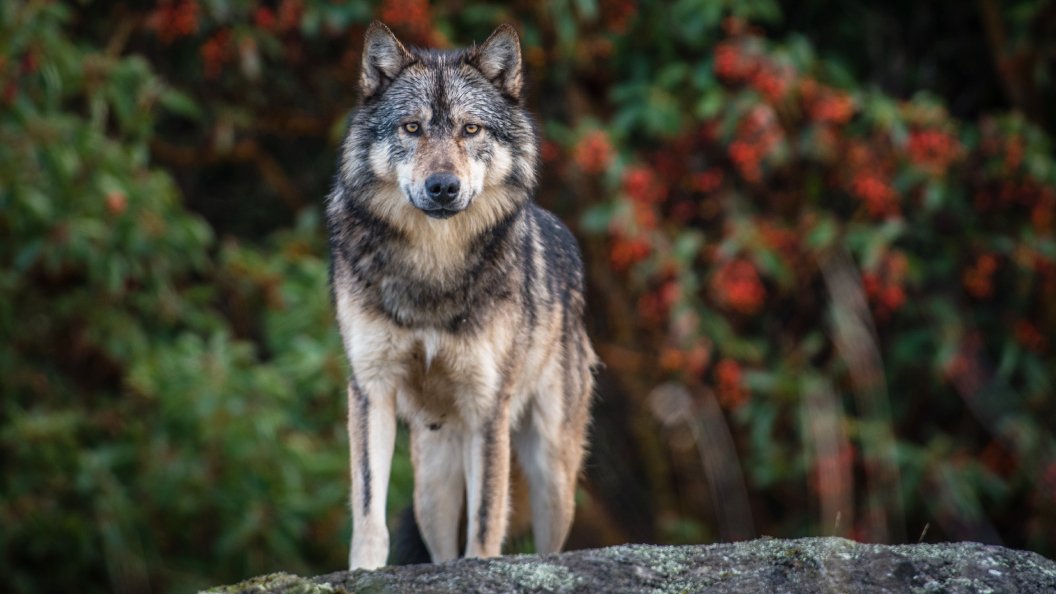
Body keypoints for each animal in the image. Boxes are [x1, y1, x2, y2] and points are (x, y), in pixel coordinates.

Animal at [325, 21, 597, 569]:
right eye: (411, 128)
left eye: (471, 130)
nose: (443, 187)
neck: (435, 266)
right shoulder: (370, 387)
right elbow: (368, 509)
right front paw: (363, 570)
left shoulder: (487, 404)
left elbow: (487, 520)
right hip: (432, 485)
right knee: (439, 546)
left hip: (552, 475)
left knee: (547, 541)